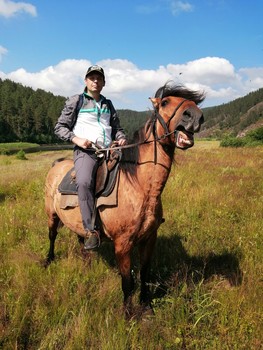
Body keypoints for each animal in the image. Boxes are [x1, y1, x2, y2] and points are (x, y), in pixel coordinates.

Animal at [44, 82, 206, 318]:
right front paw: (128, 314)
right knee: (52, 235)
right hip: (51, 215)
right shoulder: (122, 244)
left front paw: (146, 305)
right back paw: (48, 260)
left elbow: (145, 274)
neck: (139, 188)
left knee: (81, 237)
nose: (195, 116)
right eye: (165, 102)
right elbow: (127, 280)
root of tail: (56, 164)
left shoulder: (149, 239)